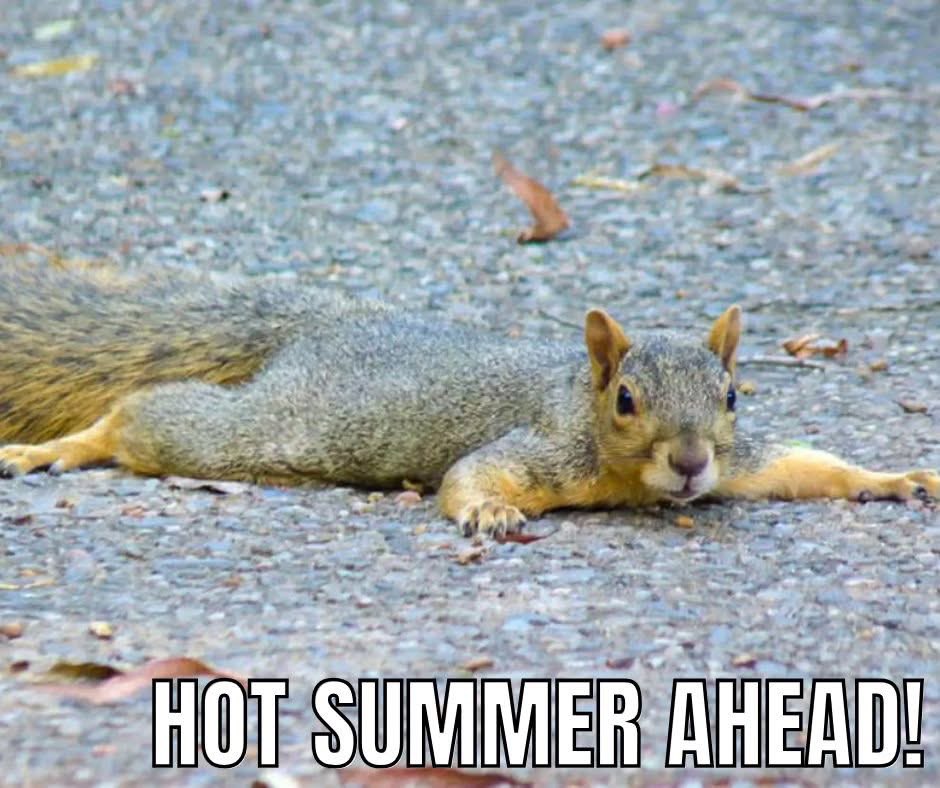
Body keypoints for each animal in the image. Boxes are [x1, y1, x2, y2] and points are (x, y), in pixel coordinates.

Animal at [0, 261, 937, 536]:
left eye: (733, 395)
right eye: (626, 401)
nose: (689, 463)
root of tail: (334, 324)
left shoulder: (742, 465)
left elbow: (807, 467)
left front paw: (896, 480)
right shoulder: (544, 445)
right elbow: (470, 474)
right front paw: (488, 512)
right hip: (269, 433)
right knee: (142, 416)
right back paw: (55, 448)